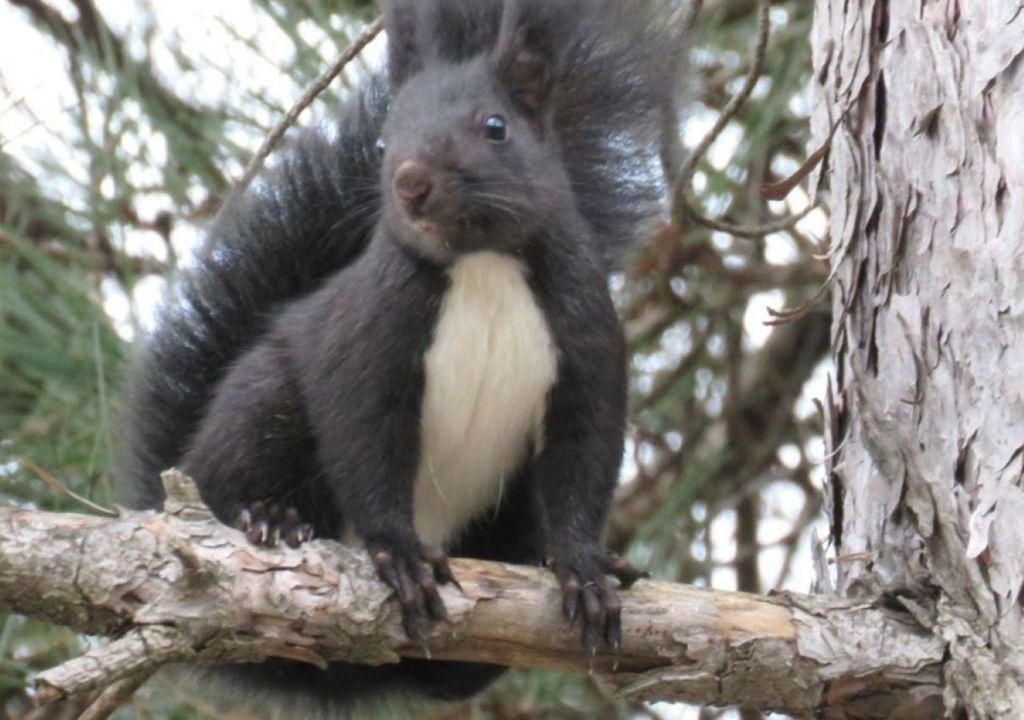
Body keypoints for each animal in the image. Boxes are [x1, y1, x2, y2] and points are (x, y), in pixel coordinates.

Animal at [117, 0, 681, 714]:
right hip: (261, 404)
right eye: (384, 143)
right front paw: (397, 555)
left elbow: (584, 458)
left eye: (495, 127)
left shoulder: (588, 344)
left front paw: (582, 566)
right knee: (228, 472)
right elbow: (365, 442)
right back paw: (270, 518)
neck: (481, 267)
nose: (410, 183)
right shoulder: (369, 340)